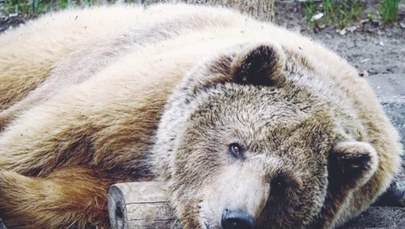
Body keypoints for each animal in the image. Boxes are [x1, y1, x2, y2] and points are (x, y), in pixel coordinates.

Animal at [0, 3, 400, 229]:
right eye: (236, 146)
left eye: (284, 183)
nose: (234, 218)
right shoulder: (139, 100)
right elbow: (44, 135)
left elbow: (73, 197)